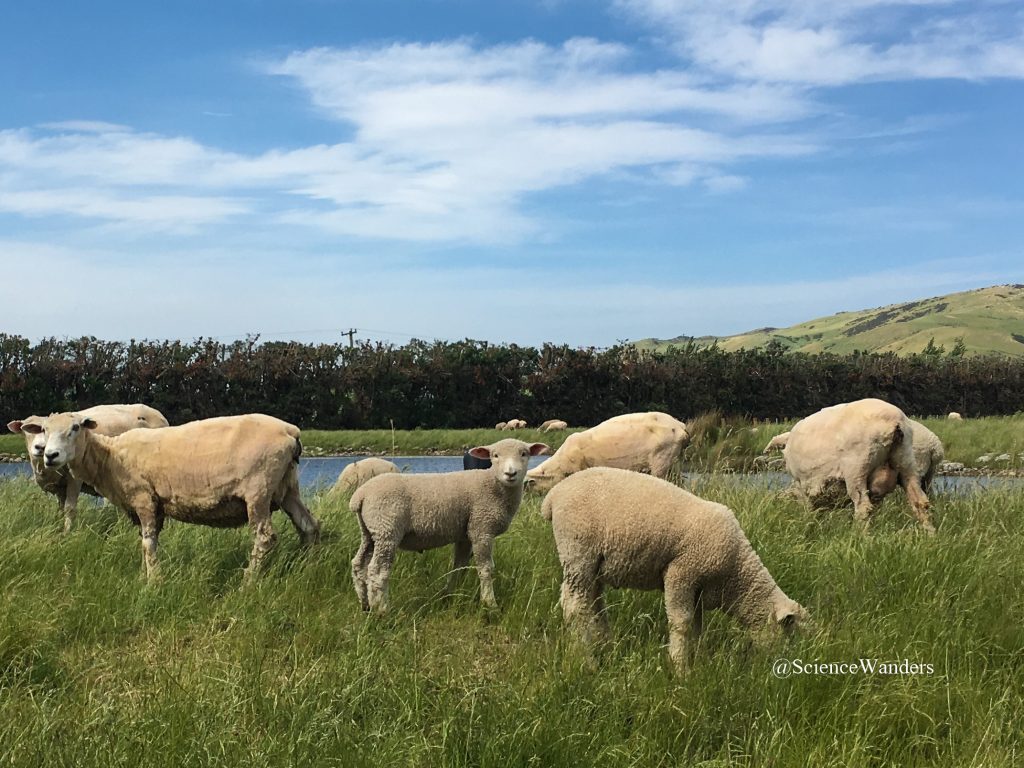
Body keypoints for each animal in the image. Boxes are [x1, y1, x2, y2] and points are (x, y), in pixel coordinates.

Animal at [6, 403, 167, 536]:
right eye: (28, 431)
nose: (41, 448)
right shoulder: (59, 487)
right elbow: (60, 508)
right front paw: (57, 527)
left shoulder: (74, 479)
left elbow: (69, 508)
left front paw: (67, 533)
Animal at [348, 438, 548, 614]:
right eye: (495, 455)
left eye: (524, 454)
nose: (510, 474)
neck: (493, 484)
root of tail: (360, 495)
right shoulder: (481, 528)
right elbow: (485, 568)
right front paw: (490, 604)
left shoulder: (466, 534)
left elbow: (459, 566)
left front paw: (449, 595)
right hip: (387, 529)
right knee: (378, 570)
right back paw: (382, 610)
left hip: (369, 532)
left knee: (359, 565)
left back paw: (365, 605)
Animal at [540, 466, 811, 671]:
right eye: (791, 632)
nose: (789, 666)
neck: (737, 576)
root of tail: (552, 496)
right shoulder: (681, 573)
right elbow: (682, 623)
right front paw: (681, 668)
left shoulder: (699, 589)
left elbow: (697, 626)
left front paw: (698, 658)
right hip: (577, 551)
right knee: (575, 607)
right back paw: (587, 659)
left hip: (591, 565)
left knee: (592, 603)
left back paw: (605, 644)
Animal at [774, 399, 937, 532]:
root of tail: (895, 422)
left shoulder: (802, 485)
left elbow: (808, 511)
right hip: (907, 463)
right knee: (920, 503)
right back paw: (930, 535)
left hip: (857, 469)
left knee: (863, 507)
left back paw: (860, 536)